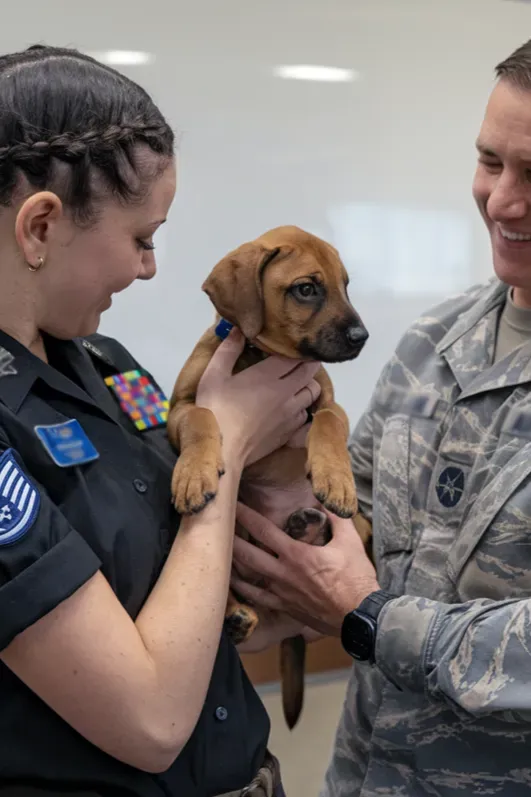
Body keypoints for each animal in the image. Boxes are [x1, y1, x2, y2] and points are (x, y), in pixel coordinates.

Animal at [168, 224, 372, 728]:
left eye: (345, 285)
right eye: (307, 288)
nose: (362, 336)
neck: (259, 356)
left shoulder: (326, 399)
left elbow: (329, 421)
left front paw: (336, 478)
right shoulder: (179, 407)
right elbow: (203, 414)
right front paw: (193, 475)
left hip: (360, 526)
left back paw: (308, 525)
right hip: (235, 535)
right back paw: (236, 615)